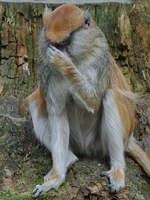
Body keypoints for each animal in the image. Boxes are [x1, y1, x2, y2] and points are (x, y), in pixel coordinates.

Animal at [26, 4, 150, 197]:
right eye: (53, 44)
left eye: (64, 43)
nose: (58, 51)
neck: (78, 56)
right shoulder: (46, 67)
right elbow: (57, 114)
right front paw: (57, 177)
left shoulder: (99, 56)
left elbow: (93, 102)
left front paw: (64, 64)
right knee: (34, 102)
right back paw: (68, 160)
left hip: (106, 142)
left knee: (109, 97)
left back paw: (118, 171)